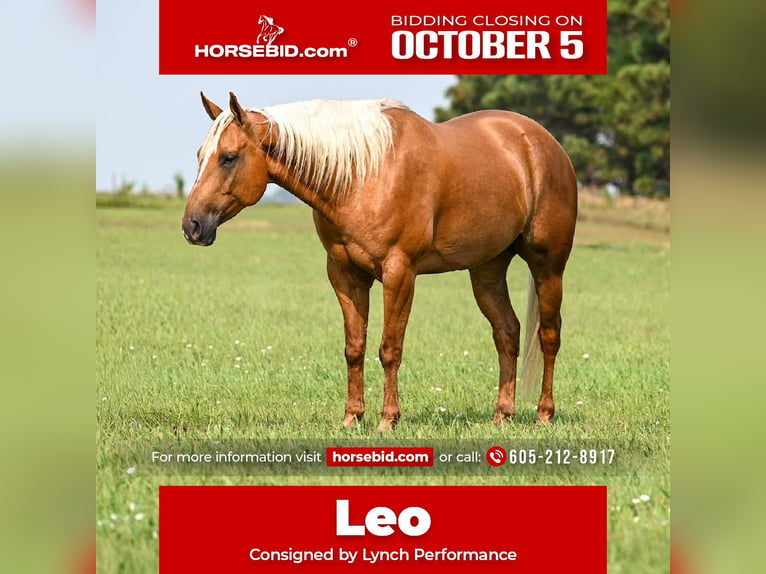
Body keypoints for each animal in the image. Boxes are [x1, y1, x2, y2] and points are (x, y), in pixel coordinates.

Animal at [182, 92, 577, 432]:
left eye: (228, 157)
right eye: (200, 155)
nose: (192, 226)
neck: (361, 176)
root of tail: (543, 144)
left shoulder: (399, 273)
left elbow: (390, 349)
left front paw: (388, 420)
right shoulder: (345, 274)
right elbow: (354, 348)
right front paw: (352, 417)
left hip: (548, 266)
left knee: (549, 335)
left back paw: (544, 414)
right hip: (487, 269)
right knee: (507, 333)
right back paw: (503, 415)